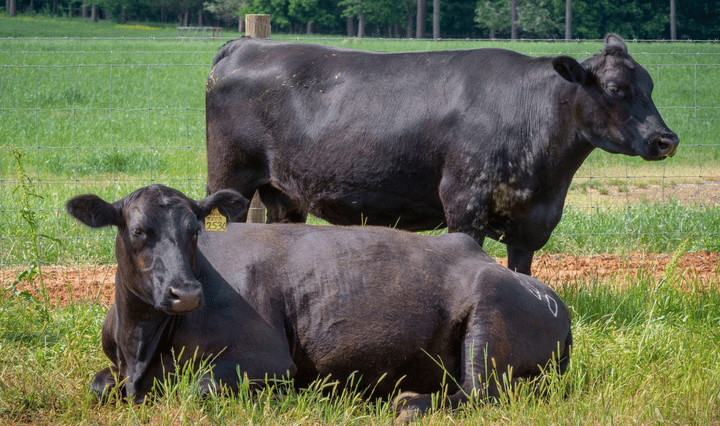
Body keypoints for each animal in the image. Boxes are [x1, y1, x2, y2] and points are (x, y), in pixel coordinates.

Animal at [66, 184, 572, 421]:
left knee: (478, 393)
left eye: (195, 230)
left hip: (490, 316)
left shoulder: (268, 359)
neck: (141, 345)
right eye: (139, 231)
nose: (186, 292)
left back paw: (409, 401)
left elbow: (198, 389)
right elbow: (98, 385)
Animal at [205, 33, 679, 276]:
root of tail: (247, 44)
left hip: (283, 193)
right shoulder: (464, 201)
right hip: (230, 177)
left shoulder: (529, 221)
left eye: (652, 85)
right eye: (615, 89)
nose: (667, 139)